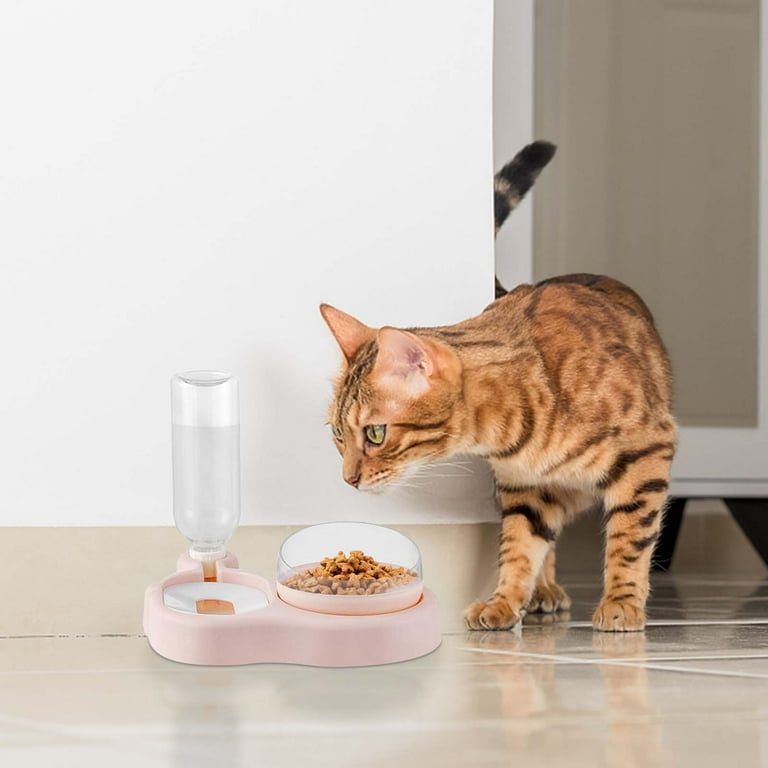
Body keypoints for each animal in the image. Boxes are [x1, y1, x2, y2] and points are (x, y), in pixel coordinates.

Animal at [320, 141, 676, 632]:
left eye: (375, 433)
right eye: (338, 434)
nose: (348, 479)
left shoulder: (647, 452)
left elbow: (630, 537)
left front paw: (621, 602)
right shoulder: (523, 488)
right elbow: (520, 546)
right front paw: (504, 600)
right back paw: (543, 592)